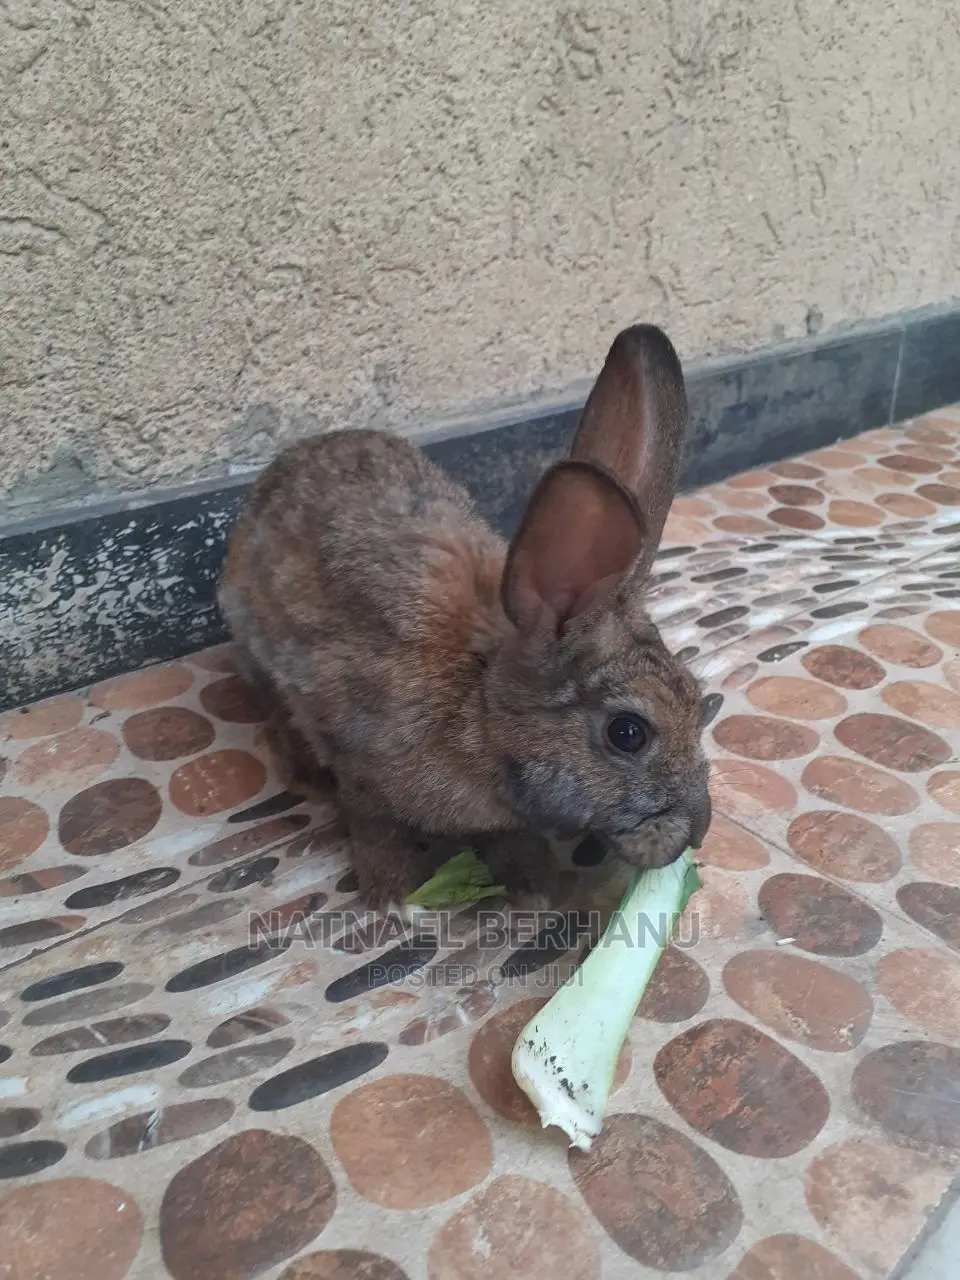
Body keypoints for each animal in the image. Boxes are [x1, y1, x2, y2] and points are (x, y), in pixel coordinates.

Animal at [219, 324, 713, 914]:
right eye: (629, 733)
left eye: (698, 700)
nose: (699, 831)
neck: (480, 709)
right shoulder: (359, 766)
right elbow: (375, 829)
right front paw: (397, 900)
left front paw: (534, 886)